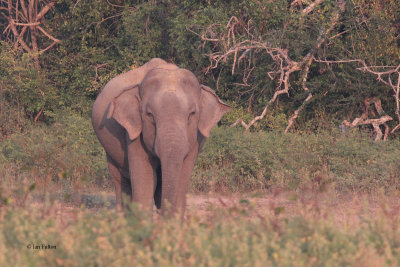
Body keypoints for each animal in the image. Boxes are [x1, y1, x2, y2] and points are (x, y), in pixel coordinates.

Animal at [91, 58, 231, 216]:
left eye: (192, 114)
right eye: (150, 115)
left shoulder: (197, 137)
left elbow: (182, 177)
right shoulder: (133, 132)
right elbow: (145, 179)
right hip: (110, 150)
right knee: (122, 181)